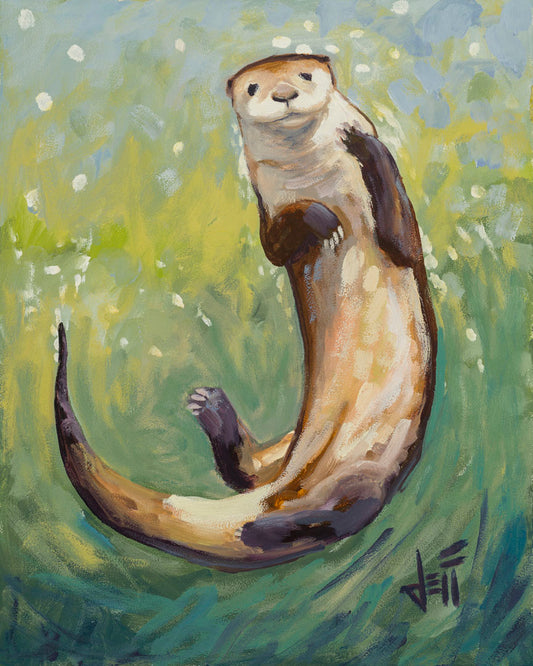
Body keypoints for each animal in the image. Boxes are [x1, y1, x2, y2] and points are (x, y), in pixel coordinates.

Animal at [54, 54, 436, 572]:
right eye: (254, 86)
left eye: (305, 75)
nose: (283, 94)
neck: (320, 182)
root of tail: (293, 484)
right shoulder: (268, 210)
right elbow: (275, 244)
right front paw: (319, 219)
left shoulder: (403, 235)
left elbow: (398, 234)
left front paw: (363, 145)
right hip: (298, 457)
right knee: (257, 482)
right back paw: (215, 415)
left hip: (371, 463)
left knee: (325, 513)